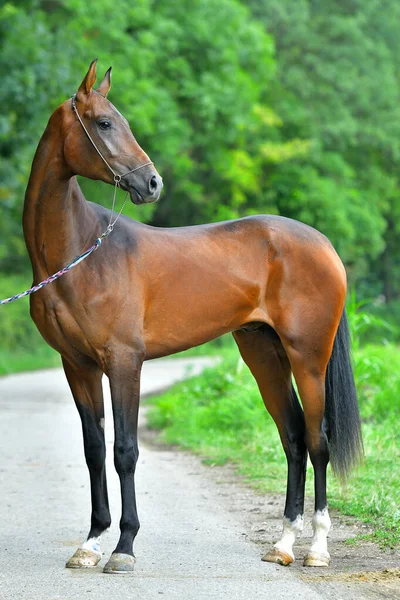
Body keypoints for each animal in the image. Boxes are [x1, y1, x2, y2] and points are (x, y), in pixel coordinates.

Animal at [23, 59, 364, 572]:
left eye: (117, 120)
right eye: (104, 123)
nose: (152, 183)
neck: (81, 252)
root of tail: (322, 244)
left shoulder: (124, 363)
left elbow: (125, 451)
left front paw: (124, 547)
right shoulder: (77, 365)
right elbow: (94, 451)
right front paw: (91, 542)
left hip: (308, 359)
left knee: (317, 440)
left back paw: (317, 549)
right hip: (264, 354)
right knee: (293, 438)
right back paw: (283, 544)